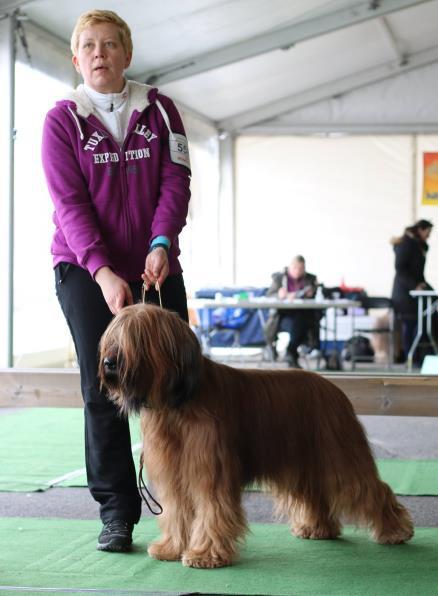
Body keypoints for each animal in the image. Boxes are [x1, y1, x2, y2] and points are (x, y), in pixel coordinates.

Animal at [98, 304, 414, 572]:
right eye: (112, 337)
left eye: (136, 336)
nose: (109, 362)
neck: (177, 401)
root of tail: (335, 390)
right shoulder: (173, 473)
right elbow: (176, 511)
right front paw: (171, 548)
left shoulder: (209, 469)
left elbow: (211, 509)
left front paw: (204, 555)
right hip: (302, 464)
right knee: (315, 494)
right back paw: (317, 528)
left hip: (339, 456)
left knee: (369, 488)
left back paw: (395, 531)